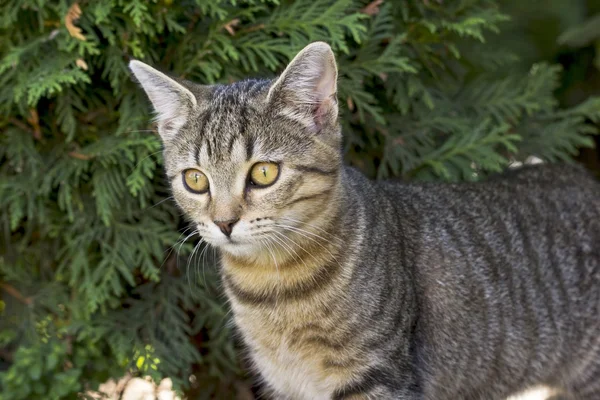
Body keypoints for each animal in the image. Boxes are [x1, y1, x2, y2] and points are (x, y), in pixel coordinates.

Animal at [129, 41, 600, 400]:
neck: (273, 290)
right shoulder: (285, 384)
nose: (224, 222)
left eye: (263, 173)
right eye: (195, 179)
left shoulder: (376, 377)